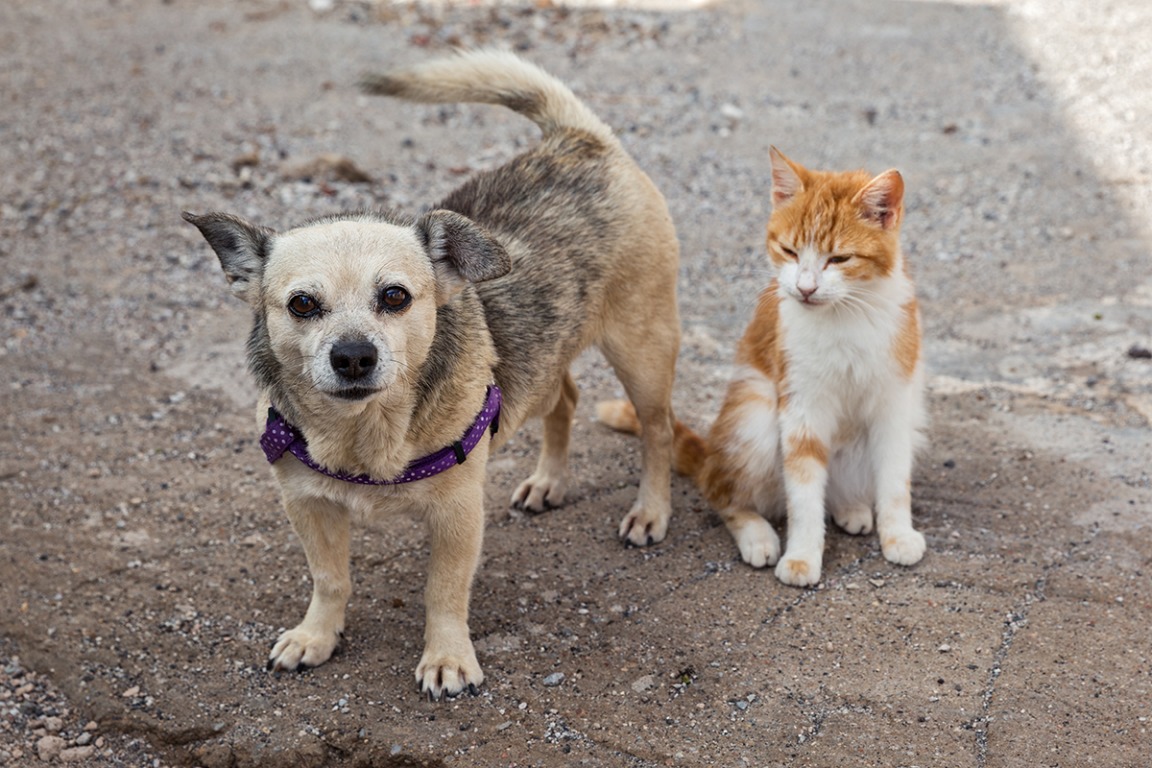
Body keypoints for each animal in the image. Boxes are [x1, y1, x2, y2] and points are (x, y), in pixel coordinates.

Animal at [183, 46, 677, 695]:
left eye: (395, 297)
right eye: (302, 304)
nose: (353, 356)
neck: (365, 434)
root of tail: (578, 138)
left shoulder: (457, 515)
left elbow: (444, 593)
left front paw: (446, 658)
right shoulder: (308, 506)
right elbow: (330, 579)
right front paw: (317, 636)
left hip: (642, 352)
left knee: (658, 432)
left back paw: (650, 511)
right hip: (547, 364)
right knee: (565, 397)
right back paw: (549, 480)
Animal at [603, 147, 926, 584]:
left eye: (839, 258)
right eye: (789, 251)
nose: (805, 288)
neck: (846, 316)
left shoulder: (894, 403)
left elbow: (893, 479)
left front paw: (898, 535)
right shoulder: (801, 405)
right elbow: (803, 491)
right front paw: (803, 555)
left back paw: (850, 507)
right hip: (754, 413)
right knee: (720, 490)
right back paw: (756, 534)